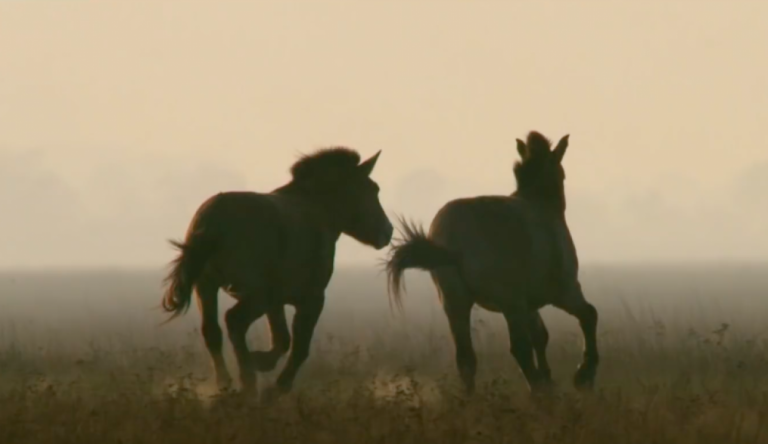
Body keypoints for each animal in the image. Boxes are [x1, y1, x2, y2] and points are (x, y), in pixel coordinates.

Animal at [158, 147, 392, 398]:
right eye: (372, 190)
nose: (388, 231)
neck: (316, 211)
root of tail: (214, 220)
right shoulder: (312, 298)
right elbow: (299, 347)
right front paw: (276, 383)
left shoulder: (276, 300)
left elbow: (282, 339)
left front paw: (262, 363)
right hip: (254, 294)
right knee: (234, 321)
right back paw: (247, 382)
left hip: (207, 286)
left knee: (212, 331)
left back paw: (227, 383)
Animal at [384, 130, 600, 394]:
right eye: (563, 172)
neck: (542, 205)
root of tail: (453, 236)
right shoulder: (564, 291)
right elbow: (588, 315)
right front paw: (583, 374)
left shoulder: (529, 304)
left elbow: (541, 336)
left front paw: (551, 379)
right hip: (511, 303)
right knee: (519, 348)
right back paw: (538, 393)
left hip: (456, 302)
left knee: (466, 358)